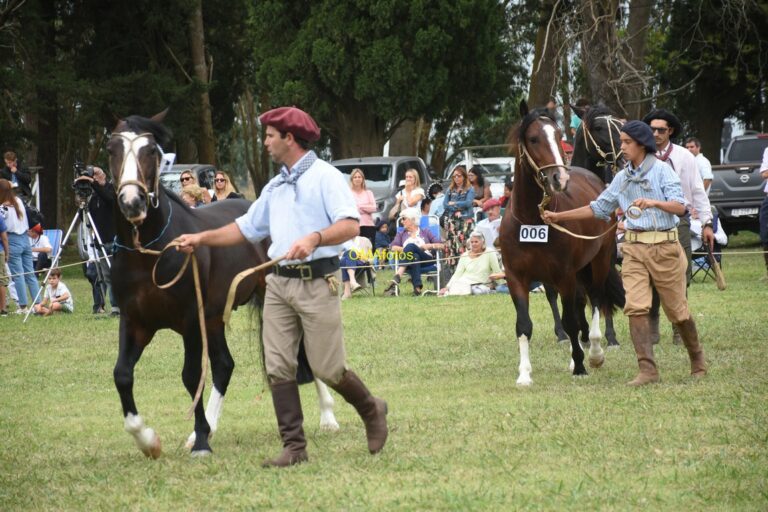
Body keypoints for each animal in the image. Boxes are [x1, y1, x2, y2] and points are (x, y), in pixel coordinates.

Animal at [499, 101, 624, 386]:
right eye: (533, 138)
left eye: (558, 136)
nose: (560, 179)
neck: (532, 218)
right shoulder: (516, 277)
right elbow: (524, 325)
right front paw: (524, 374)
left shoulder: (564, 275)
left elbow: (571, 320)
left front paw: (580, 364)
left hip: (599, 262)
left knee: (596, 299)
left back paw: (595, 352)